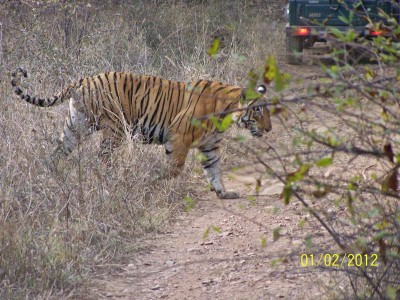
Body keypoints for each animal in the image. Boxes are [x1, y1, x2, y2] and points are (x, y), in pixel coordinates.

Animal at [10, 68, 272, 199]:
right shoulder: (179, 136)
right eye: (258, 110)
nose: (269, 129)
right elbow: (174, 168)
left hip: (76, 127)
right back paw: (113, 181)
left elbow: (214, 170)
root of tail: (82, 80)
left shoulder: (210, 146)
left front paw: (223, 192)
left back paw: (49, 175)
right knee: (101, 158)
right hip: (115, 129)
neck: (228, 115)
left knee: (57, 153)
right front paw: (152, 183)